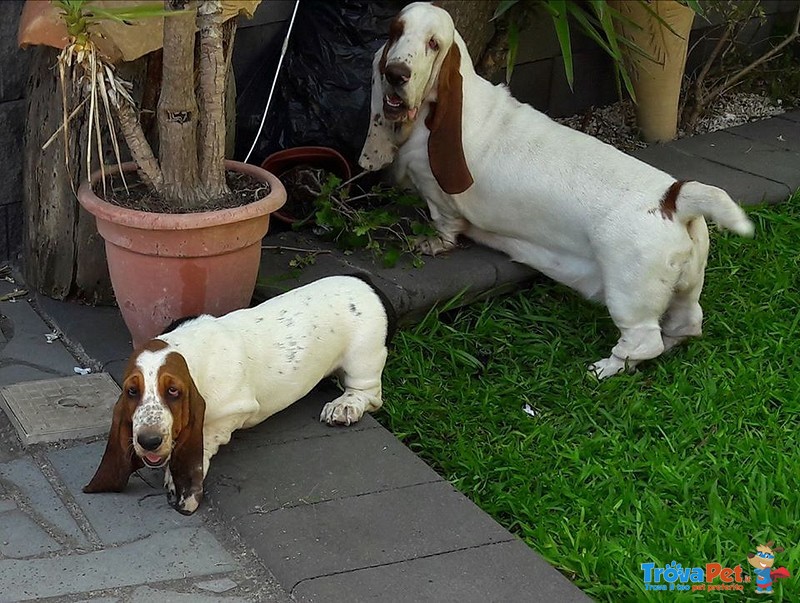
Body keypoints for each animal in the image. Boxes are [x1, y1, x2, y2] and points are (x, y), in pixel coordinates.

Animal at [84, 276, 394, 516]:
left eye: (173, 391)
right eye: (132, 391)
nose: (148, 441)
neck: (190, 353)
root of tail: (369, 285)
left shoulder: (233, 411)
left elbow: (206, 438)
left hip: (362, 360)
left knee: (370, 394)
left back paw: (344, 407)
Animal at [360, 3, 752, 378]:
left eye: (434, 44)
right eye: (396, 30)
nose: (396, 73)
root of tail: (674, 198)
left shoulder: (438, 197)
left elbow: (445, 227)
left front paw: (429, 244)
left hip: (627, 294)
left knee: (644, 341)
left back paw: (604, 369)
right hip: (687, 288)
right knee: (687, 325)